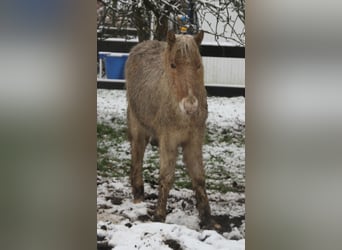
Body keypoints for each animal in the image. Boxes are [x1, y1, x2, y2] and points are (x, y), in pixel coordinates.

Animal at [125, 30, 214, 228]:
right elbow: (166, 177)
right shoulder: (168, 141)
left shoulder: (194, 141)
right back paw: (138, 194)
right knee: (137, 156)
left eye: (198, 65)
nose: (190, 106)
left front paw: (207, 218)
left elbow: (199, 177)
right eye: (173, 65)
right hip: (137, 126)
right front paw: (159, 215)